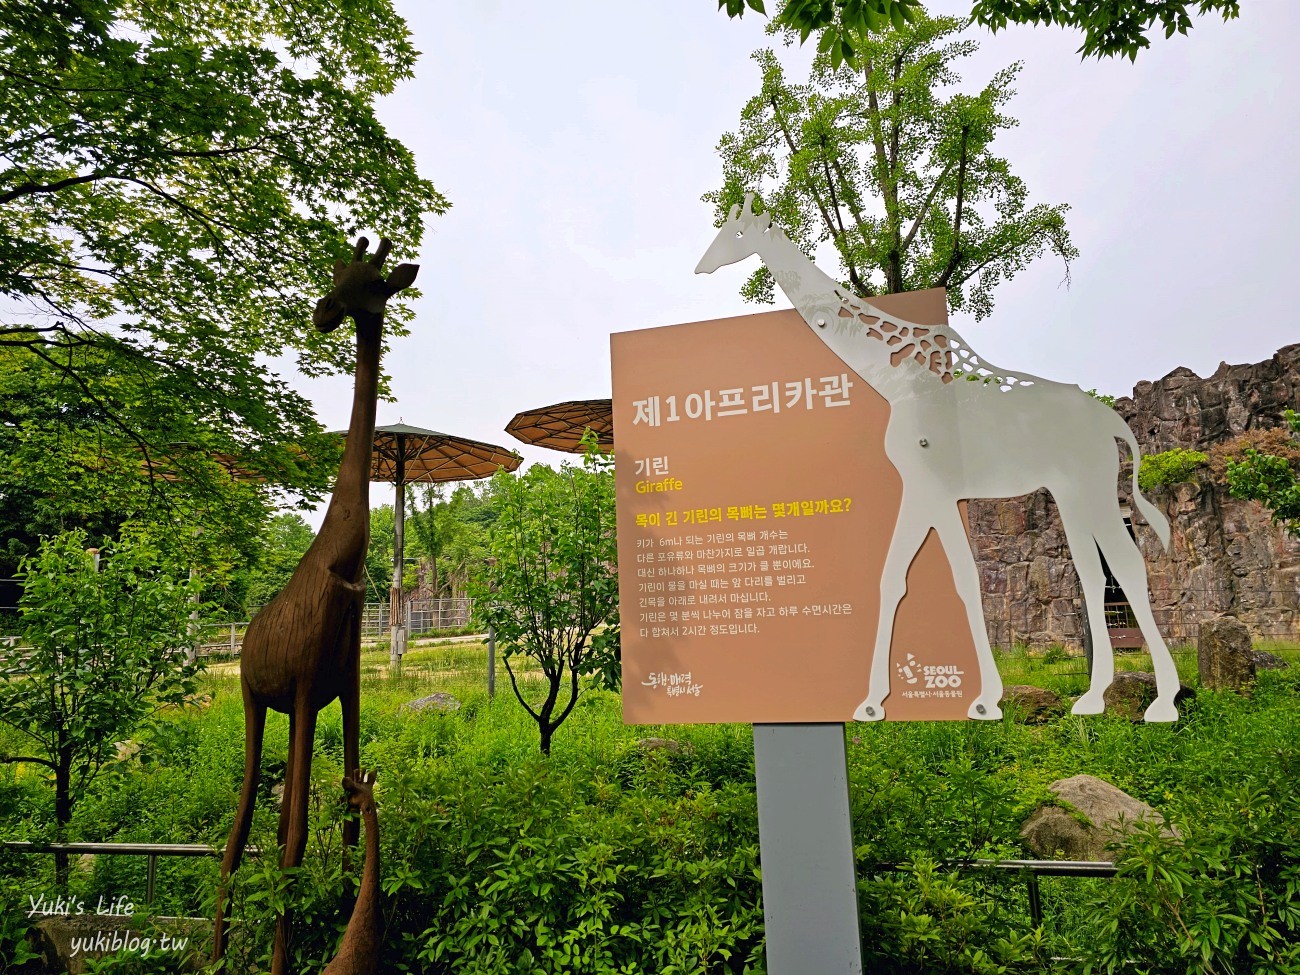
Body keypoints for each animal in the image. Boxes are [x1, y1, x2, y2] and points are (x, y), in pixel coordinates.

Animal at [213, 239, 416, 975]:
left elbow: (340, 819)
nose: (322, 312)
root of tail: (243, 640)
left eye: (368, 283)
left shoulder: (343, 687)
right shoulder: (302, 686)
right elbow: (297, 831)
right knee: (243, 822)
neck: (344, 559)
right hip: (252, 698)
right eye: (334, 275)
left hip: (279, 703)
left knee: (263, 824)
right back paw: (216, 952)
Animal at [696, 195, 1185, 728]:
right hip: (1071, 490)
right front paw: (879, 701)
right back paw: (1094, 697)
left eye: (736, 231)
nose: (701, 266)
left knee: (1127, 564)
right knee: (1096, 572)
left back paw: (1162, 702)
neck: (895, 381)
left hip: (1092, 484)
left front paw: (979, 700)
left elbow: (951, 578)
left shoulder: (931, 485)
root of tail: (1114, 422)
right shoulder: (925, 487)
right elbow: (903, 578)